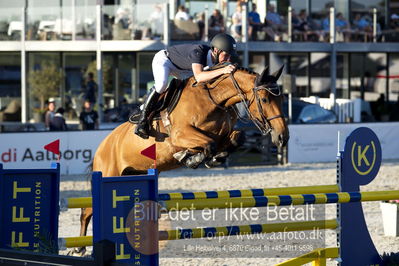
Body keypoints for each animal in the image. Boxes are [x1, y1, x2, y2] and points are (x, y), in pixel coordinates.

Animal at [74, 65, 288, 256]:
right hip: (109, 173)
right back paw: (79, 248)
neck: (214, 99)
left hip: (133, 174)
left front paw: (213, 158)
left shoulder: (222, 135)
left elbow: (236, 138)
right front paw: (191, 158)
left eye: (281, 99)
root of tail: (103, 145)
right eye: (264, 99)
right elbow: (208, 144)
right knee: (87, 211)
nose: (282, 137)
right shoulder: (180, 136)